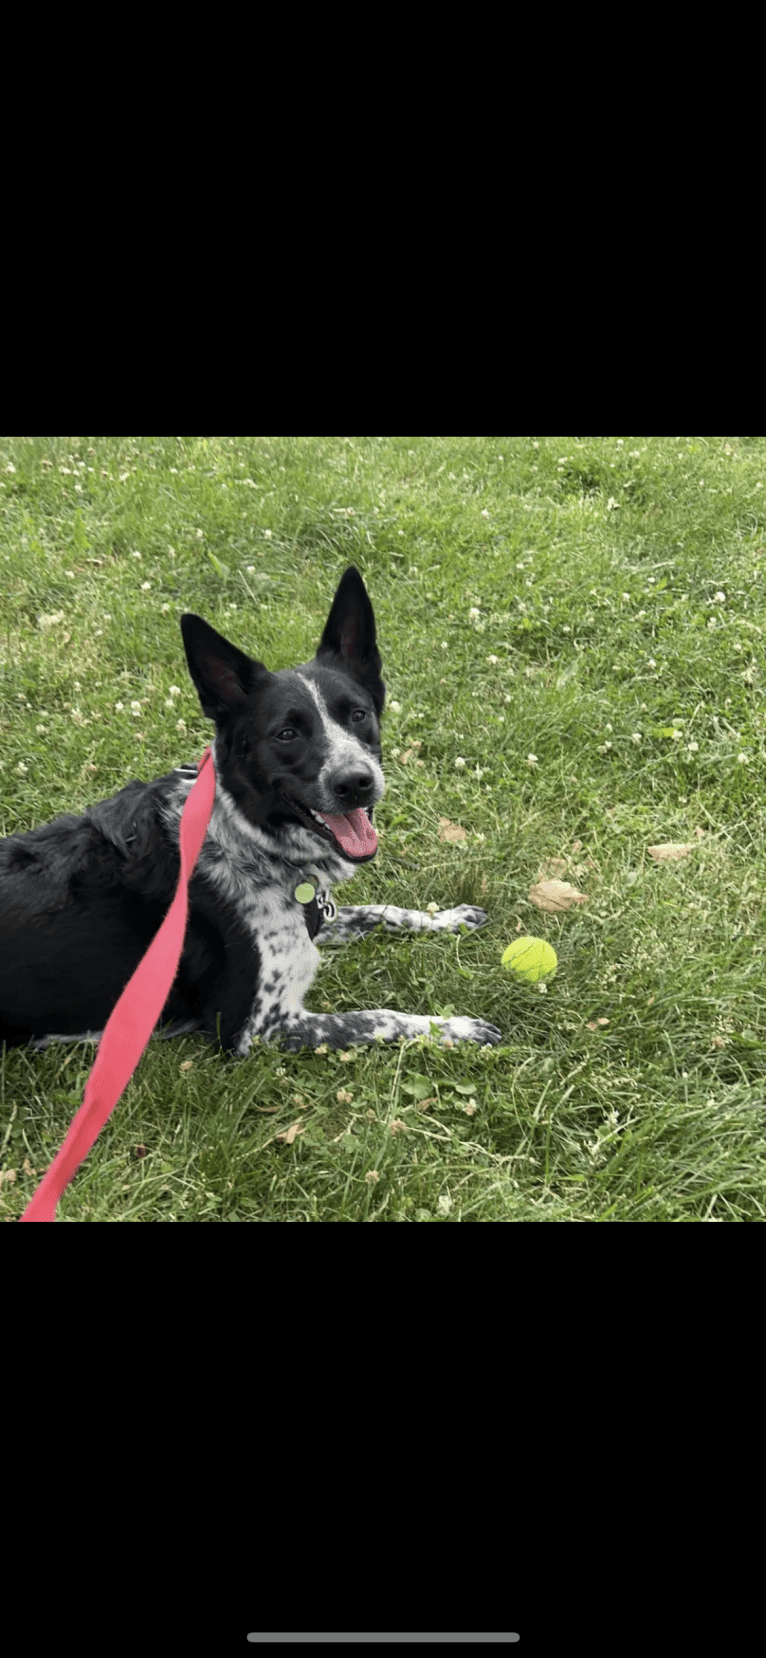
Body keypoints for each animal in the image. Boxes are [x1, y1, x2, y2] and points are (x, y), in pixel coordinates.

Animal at [0, 570, 504, 1054]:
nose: (357, 782)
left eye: (358, 715)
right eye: (286, 734)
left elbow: (381, 910)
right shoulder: (259, 1027)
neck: (242, 836)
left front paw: (445, 919)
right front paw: (454, 1028)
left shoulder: (316, 921)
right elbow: (380, 1018)